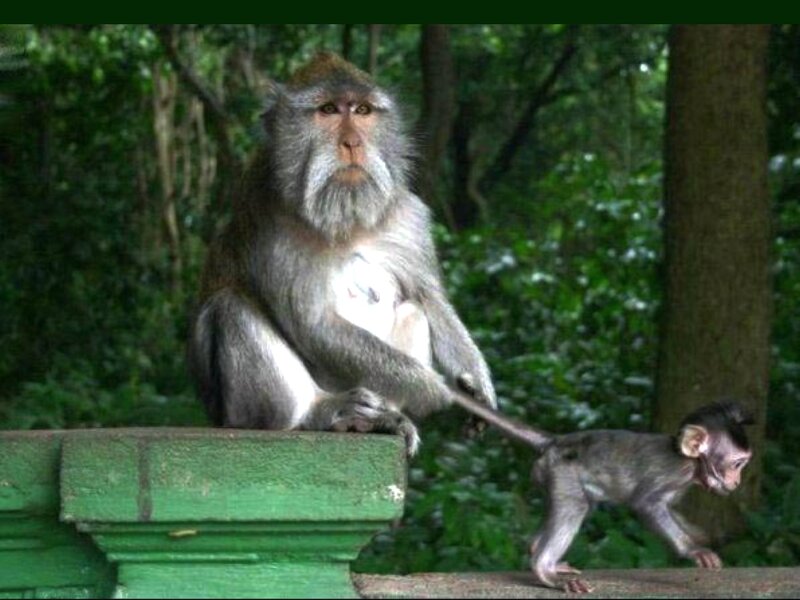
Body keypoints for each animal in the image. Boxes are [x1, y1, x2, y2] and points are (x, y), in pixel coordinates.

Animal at [188, 52, 496, 456]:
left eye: (362, 110)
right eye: (329, 110)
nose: (352, 143)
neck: (347, 219)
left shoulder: (407, 216)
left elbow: (428, 298)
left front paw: (477, 383)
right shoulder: (272, 225)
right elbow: (314, 324)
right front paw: (434, 389)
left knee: (413, 311)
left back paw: (381, 418)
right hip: (241, 410)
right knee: (230, 307)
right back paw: (318, 415)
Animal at [453, 375, 753, 594]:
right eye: (737, 464)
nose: (737, 480)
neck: (689, 462)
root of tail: (555, 441)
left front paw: (699, 534)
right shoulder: (674, 474)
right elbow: (647, 504)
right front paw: (693, 549)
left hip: (549, 474)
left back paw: (539, 552)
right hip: (562, 472)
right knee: (576, 506)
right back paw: (544, 569)